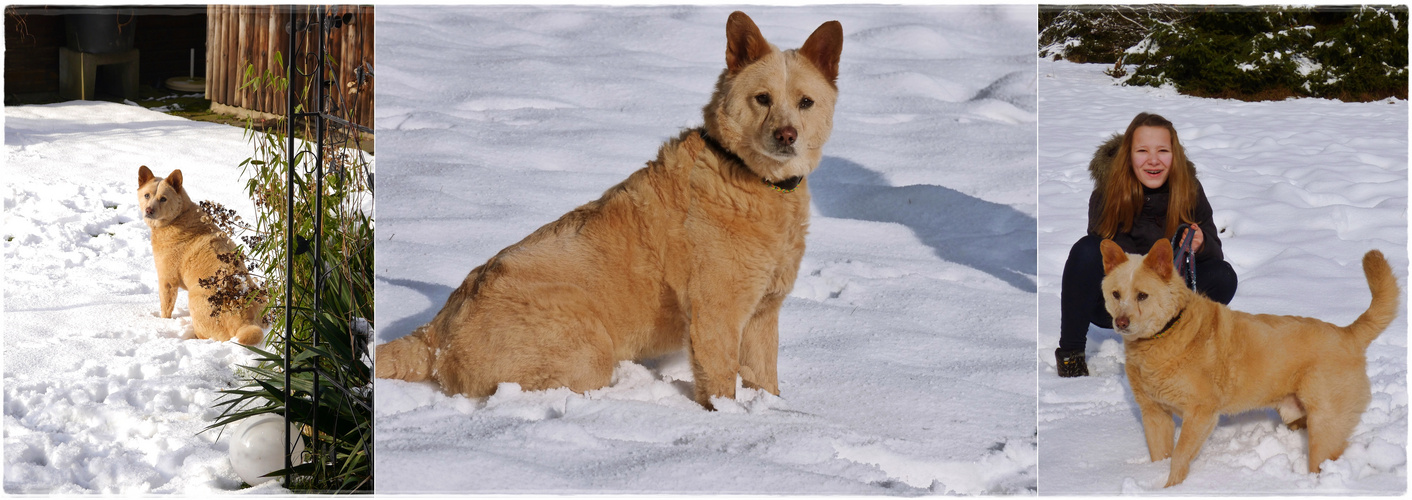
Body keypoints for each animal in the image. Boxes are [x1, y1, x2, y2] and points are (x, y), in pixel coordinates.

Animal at [137, 165, 265, 346]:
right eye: (147, 195)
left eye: (163, 199)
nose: (149, 210)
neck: (178, 216)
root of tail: (243, 321)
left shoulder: (167, 280)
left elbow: (166, 308)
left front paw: (162, 322)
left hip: (194, 298)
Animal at [369, 11, 841, 409]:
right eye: (762, 98)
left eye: (805, 102)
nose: (786, 135)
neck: (749, 177)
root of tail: (434, 333)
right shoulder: (716, 314)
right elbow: (722, 383)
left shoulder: (764, 312)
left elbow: (765, 379)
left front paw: (777, 412)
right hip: (586, 344)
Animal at [1095, 238, 1395, 488]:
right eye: (1116, 294)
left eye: (1142, 295)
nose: (1121, 322)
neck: (1167, 331)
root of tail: (1348, 333)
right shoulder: (1154, 414)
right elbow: (1161, 455)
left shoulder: (1201, 413)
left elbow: (1179, 456)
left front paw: (1172, 489)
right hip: (1298, 415)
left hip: (1325, 426)